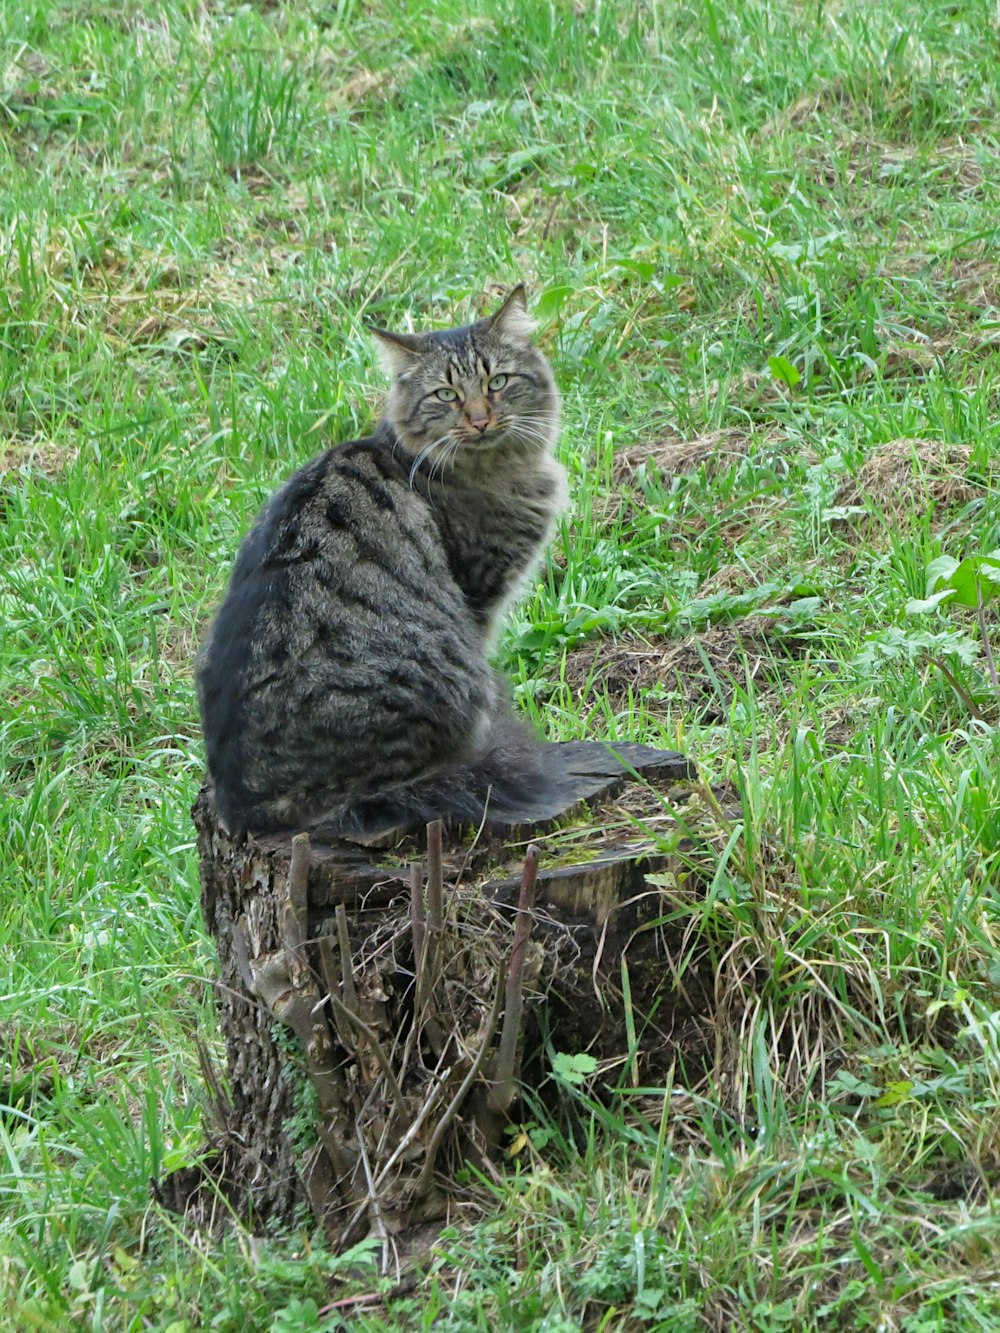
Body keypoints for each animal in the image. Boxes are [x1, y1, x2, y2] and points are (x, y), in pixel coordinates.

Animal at [194, 286, 669, 837]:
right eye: (446, 395)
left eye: (497, 382)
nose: (480, 419)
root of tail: (249, 806)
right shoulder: (480, 593)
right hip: (447, 682)